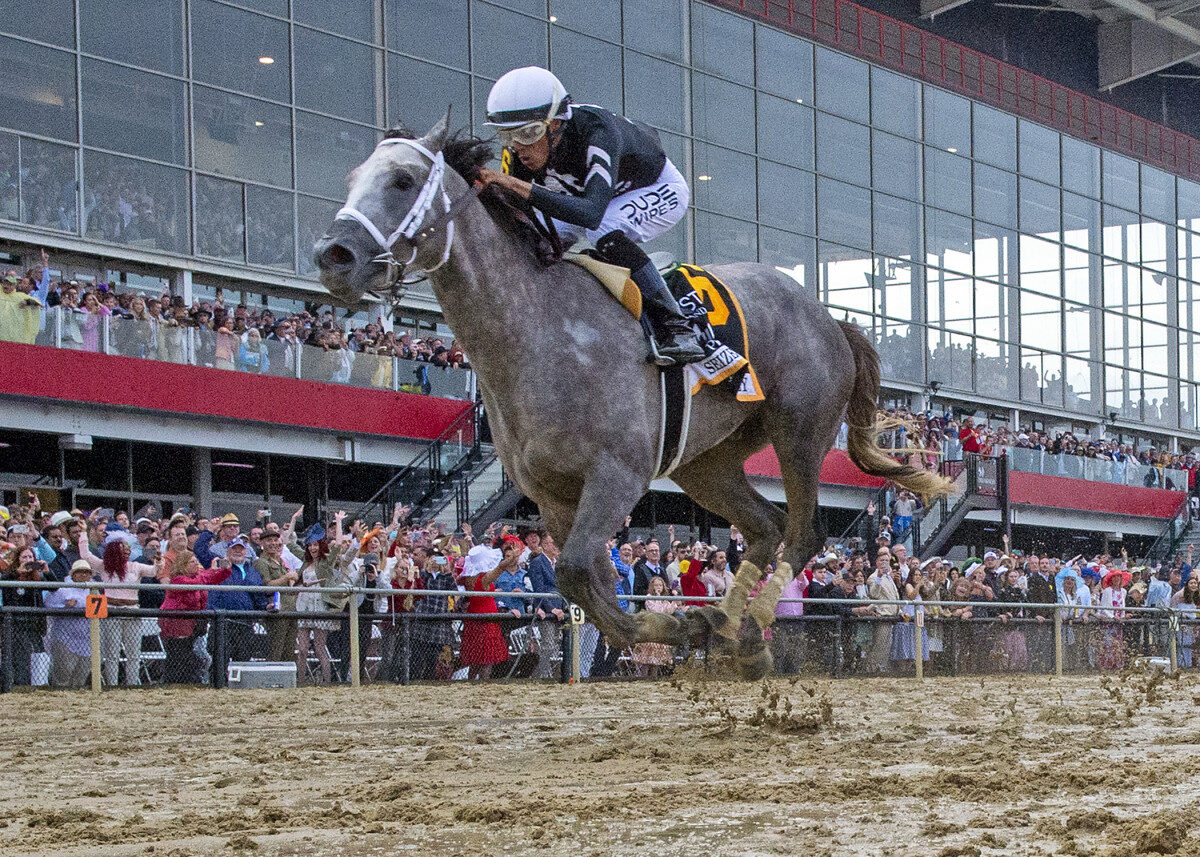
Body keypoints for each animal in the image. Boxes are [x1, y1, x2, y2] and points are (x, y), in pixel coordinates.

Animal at [314, 115, 950, 672]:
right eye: (351, 178)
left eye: (403, 180)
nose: (333, 256)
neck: (537, 330)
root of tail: (829, 318)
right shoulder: (552, 496)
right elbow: (583, 581)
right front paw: (679, 624)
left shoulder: (616, 472)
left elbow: (576, 571)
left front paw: (679, 626)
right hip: (706, 461)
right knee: (766, 526)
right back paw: (731, 627)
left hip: (800, 431)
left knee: (803, 529)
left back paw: (747, 625)